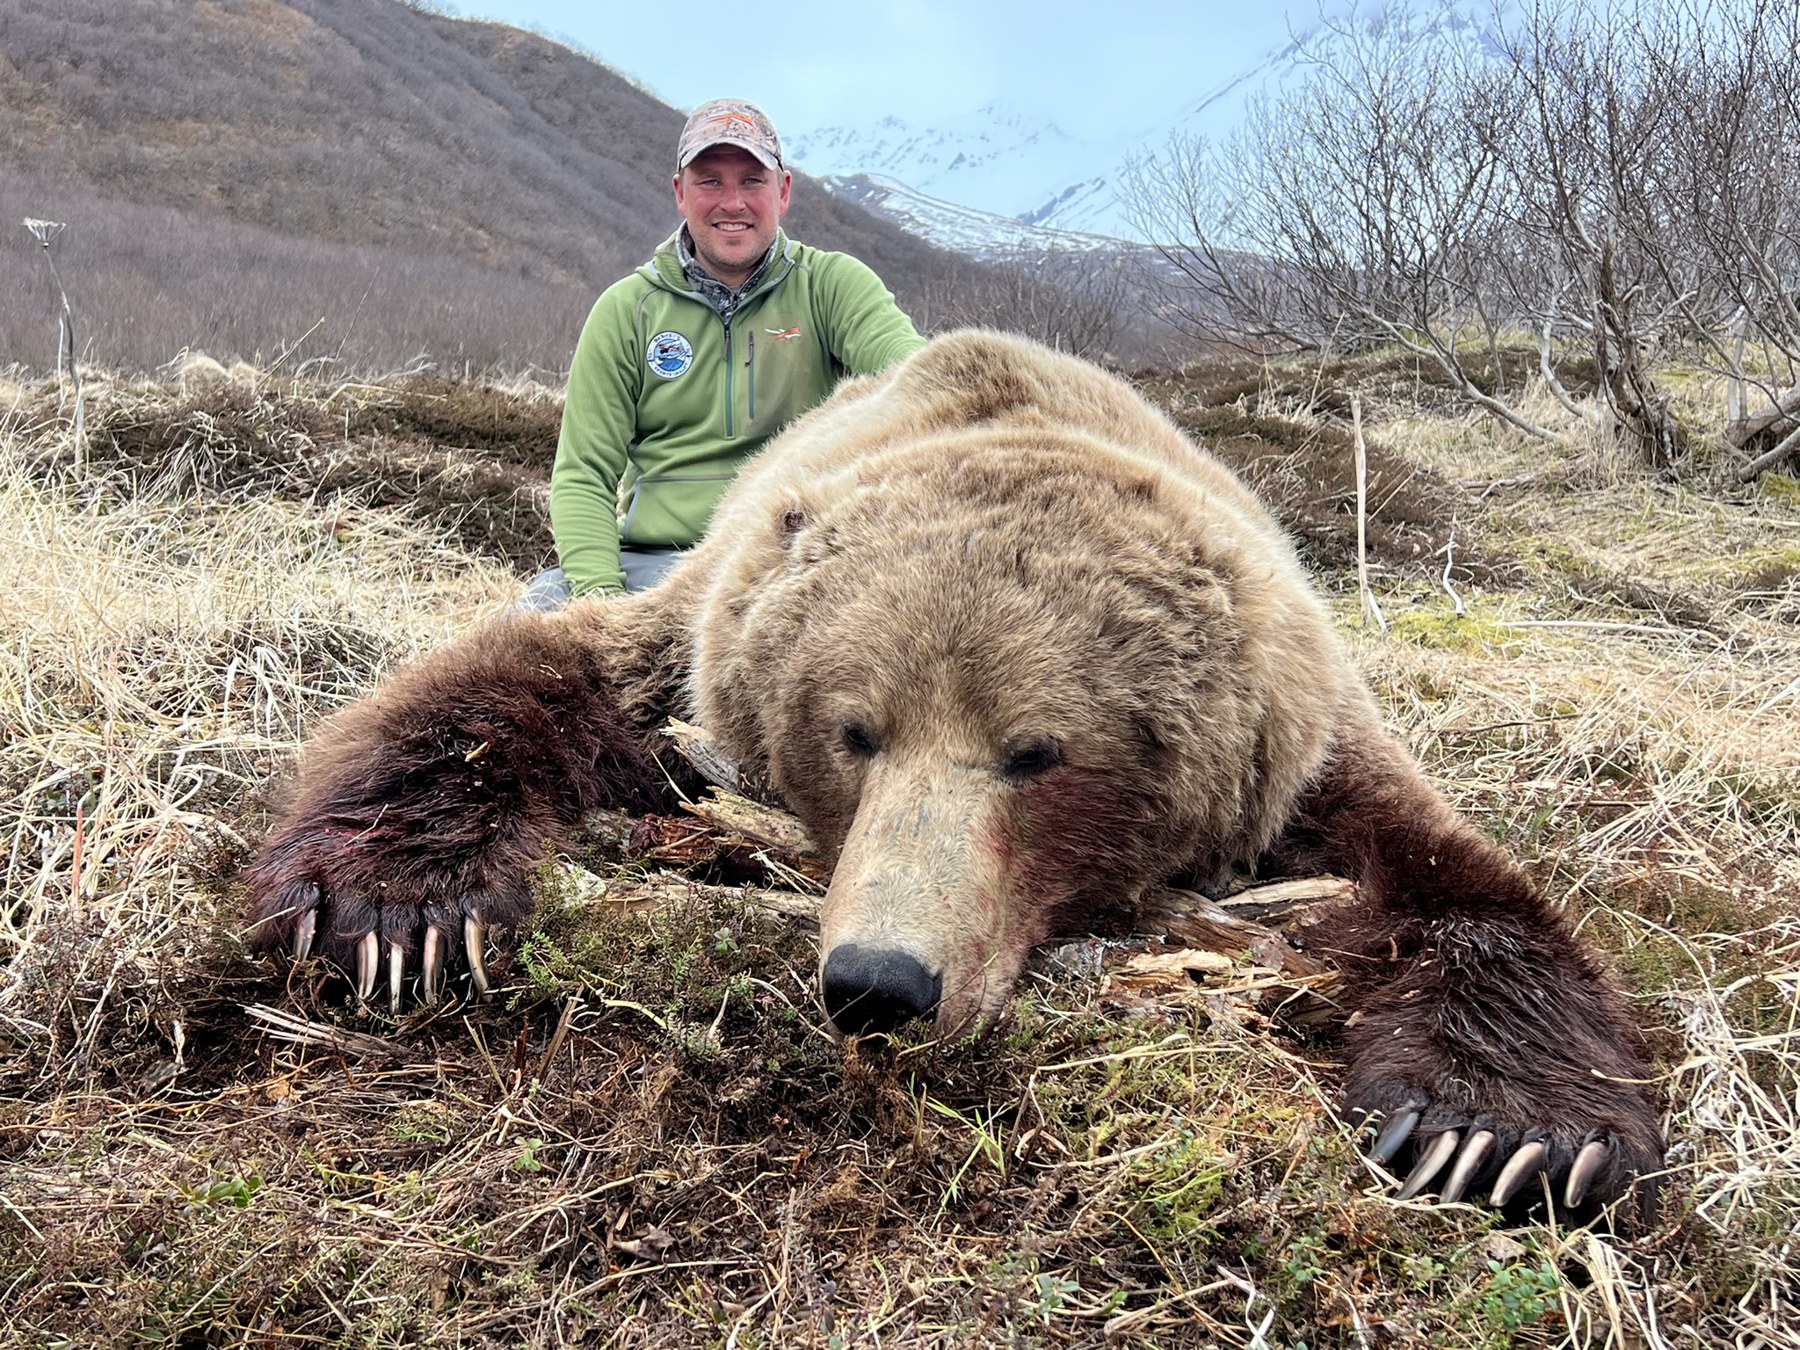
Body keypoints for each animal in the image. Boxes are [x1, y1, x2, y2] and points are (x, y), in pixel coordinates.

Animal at [246, 330, 1663, 1224]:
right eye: (852, 732)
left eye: (1038, 752)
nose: (880, 982)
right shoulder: (697, 628)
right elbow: (523, 684)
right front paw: (398, 912)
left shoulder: (1302, 741)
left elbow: (1442, 870)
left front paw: (1499, 1131)